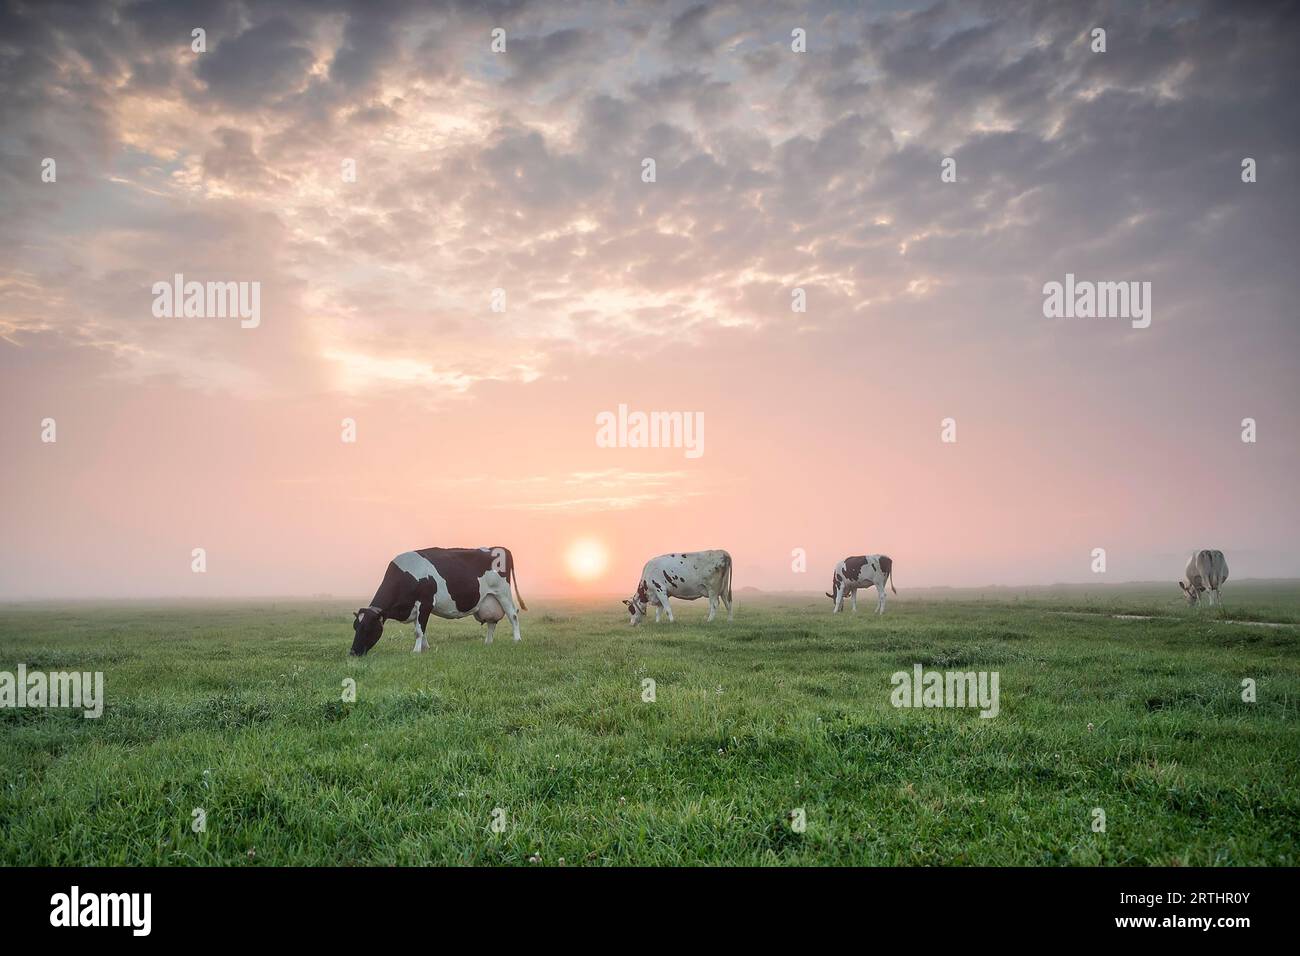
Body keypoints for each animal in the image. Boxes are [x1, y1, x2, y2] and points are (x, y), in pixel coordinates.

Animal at [351, 546, 527, 658]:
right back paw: (488, 643)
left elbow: (418, 630)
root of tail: (498, 548)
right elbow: (421, 628)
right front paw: (425, 648)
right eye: (355, 627)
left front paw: (416, 651)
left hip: (502, 592)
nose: (352, 653)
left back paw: (517, 640)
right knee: (492, 621)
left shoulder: (425, 602)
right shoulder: (417, 608)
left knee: (513, 615)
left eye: (367, 628)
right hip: (489, 599)